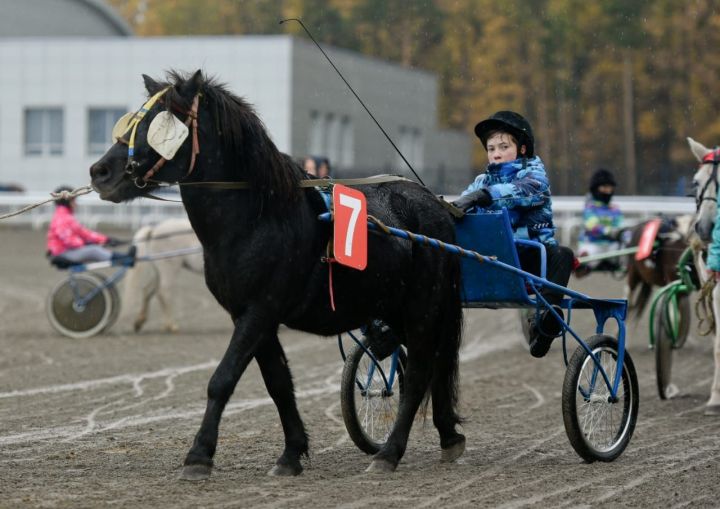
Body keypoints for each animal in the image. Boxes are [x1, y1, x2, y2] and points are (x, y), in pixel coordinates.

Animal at [90, 69, 464, 478]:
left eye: (163, 124)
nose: (100, 172)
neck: (257, 217)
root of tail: (435, 205)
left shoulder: (260, 310)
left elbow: (222, 379)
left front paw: (199, 455)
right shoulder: (252, 316)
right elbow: (278, 383)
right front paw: (291, 454)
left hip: (422, 308)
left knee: (420, 373)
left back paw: (389, 453)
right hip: (396, 309)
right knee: (430, 366)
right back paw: (448, 436)